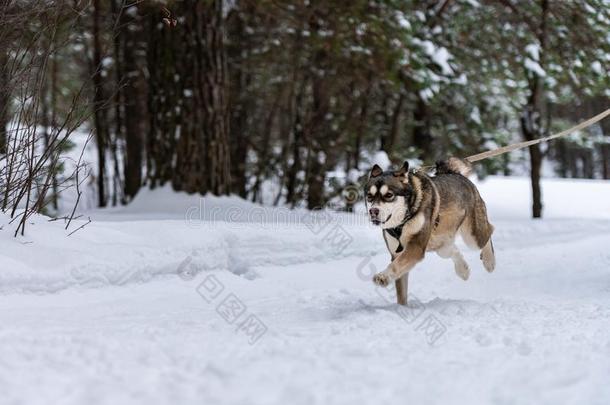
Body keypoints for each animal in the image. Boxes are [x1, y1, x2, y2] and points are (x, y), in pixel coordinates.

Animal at [364, 157, 492, 288]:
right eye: (369, 196)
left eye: (389, 195)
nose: (373, 211)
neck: (403, 222)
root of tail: (458, 174)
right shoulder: (396, 254)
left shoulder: (416, 247)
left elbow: (396, 265)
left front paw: (383, 276)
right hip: (441, 246)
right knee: (454, 251)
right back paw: (463, 270)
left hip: (472, 237)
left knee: (490, 231)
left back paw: (489, 262)